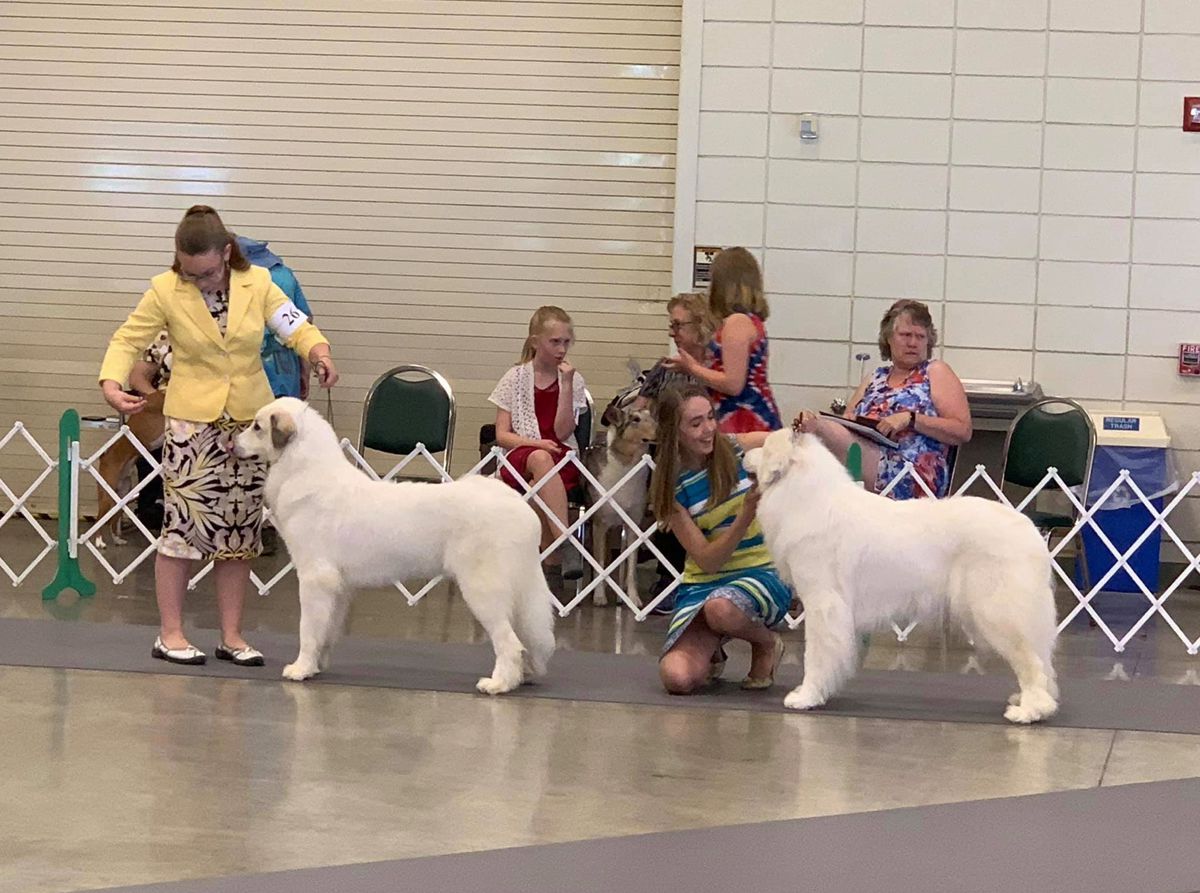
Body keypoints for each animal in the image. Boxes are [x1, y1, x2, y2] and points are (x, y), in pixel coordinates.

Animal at [231, 398, 554, 696]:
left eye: (256, 427)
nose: (230, 443)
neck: (305, 471)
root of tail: (518, 506)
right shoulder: (338, 587)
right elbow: (326, 631)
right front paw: (316, 666)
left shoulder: (315, 579)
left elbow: (308, 630)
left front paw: (300, 669)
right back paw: (523, 676)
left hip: (483, 590)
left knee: (509, 643)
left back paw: (499, 684)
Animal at [748, 427, 1060, 724]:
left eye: (762, 445)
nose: (743, 452)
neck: (806, 496)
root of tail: (1029, 531)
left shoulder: (823, 604)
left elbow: (816, 655)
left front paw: (807, 697)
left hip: (998, 613)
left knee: (1032, 664)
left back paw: (1030, 711)